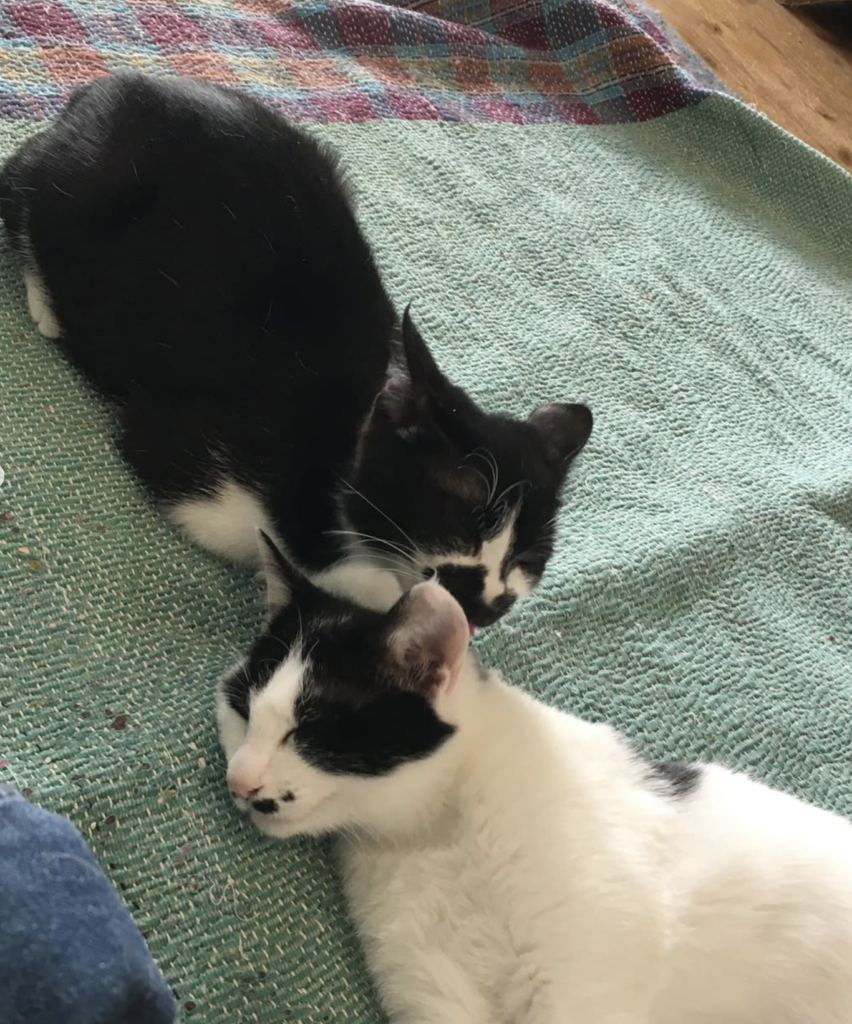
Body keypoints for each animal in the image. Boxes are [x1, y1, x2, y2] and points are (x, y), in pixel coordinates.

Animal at [0, 71, 593, 626]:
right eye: (467, 520)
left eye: (527, 556)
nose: (488, 605)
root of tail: (113, 84)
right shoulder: (189, 461)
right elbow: (337, 572)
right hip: (89, 185)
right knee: (21, 178)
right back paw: (46, 304)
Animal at [217, 535, 852, 1024]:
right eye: (242, 709)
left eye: (310, 728)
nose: (238, 780)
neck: (434, 833)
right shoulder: (433, 986)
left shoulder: (581, 985)